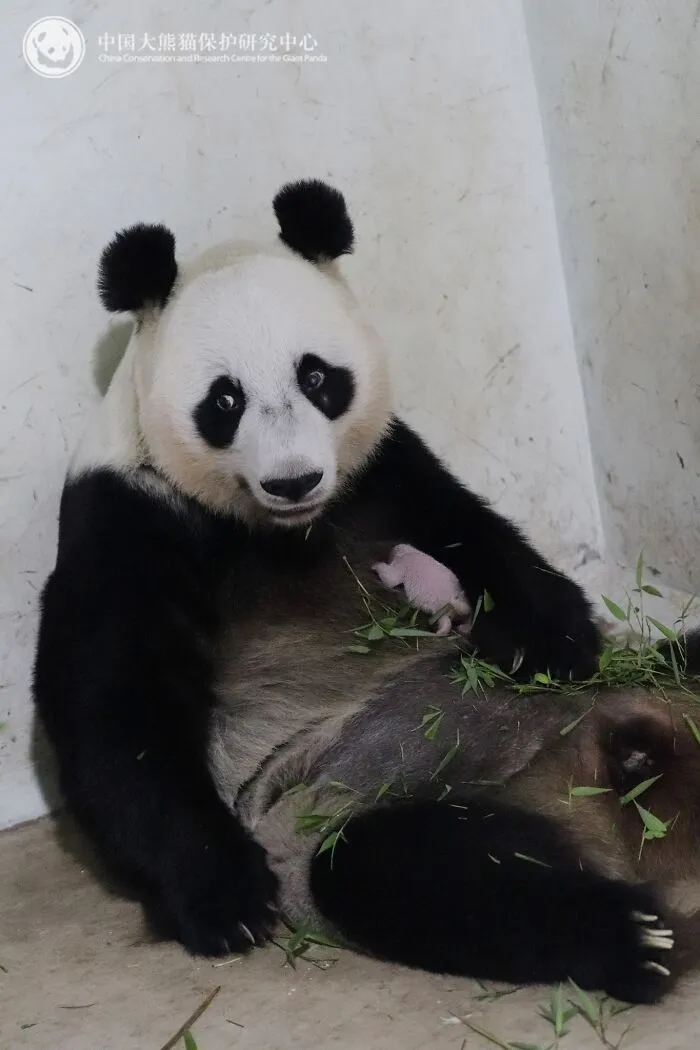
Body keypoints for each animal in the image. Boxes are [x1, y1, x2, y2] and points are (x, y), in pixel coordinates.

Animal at [33, 179, 699, 1006]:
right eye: (224, 401)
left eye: (317, 377)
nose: (293, 479)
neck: (281, 532)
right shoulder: (128, 515)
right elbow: (115, 713)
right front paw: (226, 901)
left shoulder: (383, 472)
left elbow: (477, 535)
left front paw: (551, 644)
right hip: (356, 813)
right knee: (421, 875)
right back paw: (633, 937)